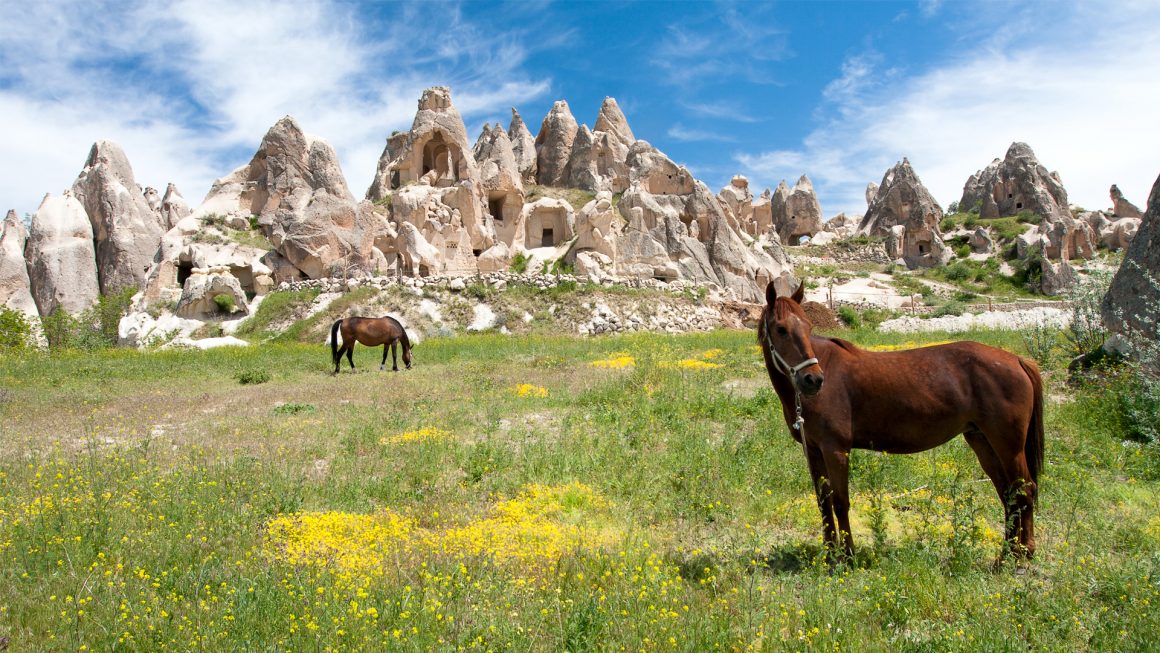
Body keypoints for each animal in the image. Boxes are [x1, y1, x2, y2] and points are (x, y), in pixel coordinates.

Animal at [760, 280, 1044, 561]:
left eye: (808, 326)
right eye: (781, 329)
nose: (813, 380)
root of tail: (1017, 360)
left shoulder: (836, 450)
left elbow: (840, 501)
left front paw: (848, 556)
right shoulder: (815, 452)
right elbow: (823, 501)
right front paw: (830, 556)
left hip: (1008, 446)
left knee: (1025, 490)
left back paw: (1023, 554)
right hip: (982, 442)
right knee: (1008, 493)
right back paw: (1006, 555)